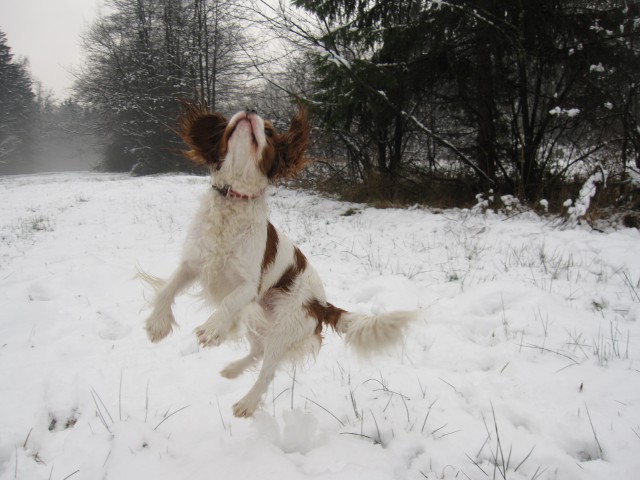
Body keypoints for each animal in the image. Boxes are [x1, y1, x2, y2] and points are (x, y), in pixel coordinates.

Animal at [142, 101, 418, 416]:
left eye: (270, 131)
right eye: (227, 124)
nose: (249, 110)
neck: (234, 197)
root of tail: (322, 305)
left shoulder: (248, 285)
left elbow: (227, 302)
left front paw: (212, 329)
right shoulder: (193, 263)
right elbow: (167, 289)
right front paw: (157, 325)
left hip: (284, 329)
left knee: (267, 370)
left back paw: (246, 403)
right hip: (260, 317)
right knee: (257, 350)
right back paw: (232, 370)